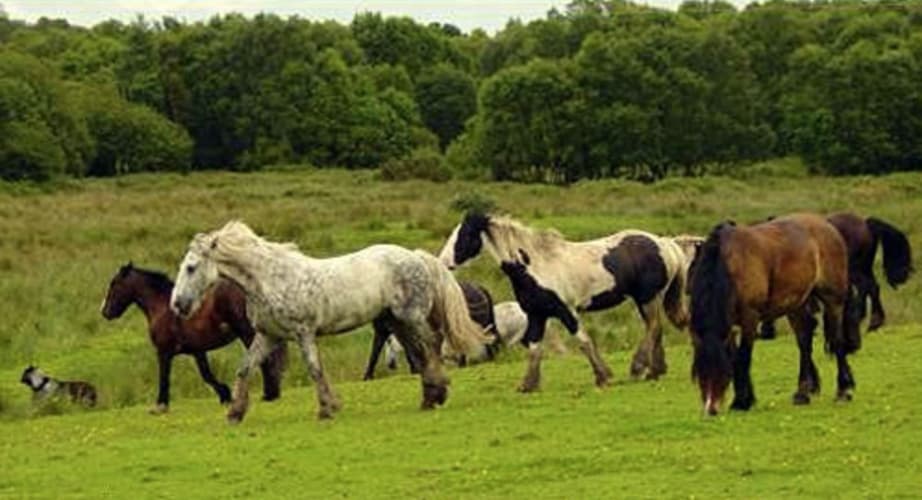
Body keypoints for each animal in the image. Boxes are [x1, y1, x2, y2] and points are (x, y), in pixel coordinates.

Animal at [101, 263, 287, 414]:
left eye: (114, 284)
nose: (105, 311)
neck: (163, 308)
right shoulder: (198, 351)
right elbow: (207, 375)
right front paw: (225, 395)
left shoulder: (164, 352)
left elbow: (164, 377)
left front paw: (160, 406)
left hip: (247, 333)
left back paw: (269, 393)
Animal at [363, 281, 499, 380]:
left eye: (390, 343)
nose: (390, 365)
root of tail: (480, 288)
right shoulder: (382, 331)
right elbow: (375, 353)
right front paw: (367, 376)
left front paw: (416, 370)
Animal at [439, 212, 690, 392]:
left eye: (464, 235)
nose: (444, 263)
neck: (534, 267)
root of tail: (666, 244)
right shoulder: (537, 315)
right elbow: (534, 348)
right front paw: (528, 385)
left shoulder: (566, 311)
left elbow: (583, 341)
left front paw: (603, 377)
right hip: (647, 299)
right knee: (655, 328)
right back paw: (654, 371)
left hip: (646, 297)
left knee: (653, 327)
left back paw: (639, 368)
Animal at [689, 213, 862, 416]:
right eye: (700, 373)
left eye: (722, 371)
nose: (711, 409)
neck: (730, 265)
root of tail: (827, 225)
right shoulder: (731, 325)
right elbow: (736, 357)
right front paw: (746, 398)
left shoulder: (749, 318)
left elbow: (743, 357)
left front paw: (741, 402)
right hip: (796, 305)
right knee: (804, 343)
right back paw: (802, 392)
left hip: (833, 300)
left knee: (837, 341)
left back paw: (843, 390)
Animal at [759, 212, 913, 339]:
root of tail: (865, 223)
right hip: (863, 269)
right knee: (873, 287)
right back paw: (873, 321)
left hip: (855, 270)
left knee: (866, 286)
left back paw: (866, 319)